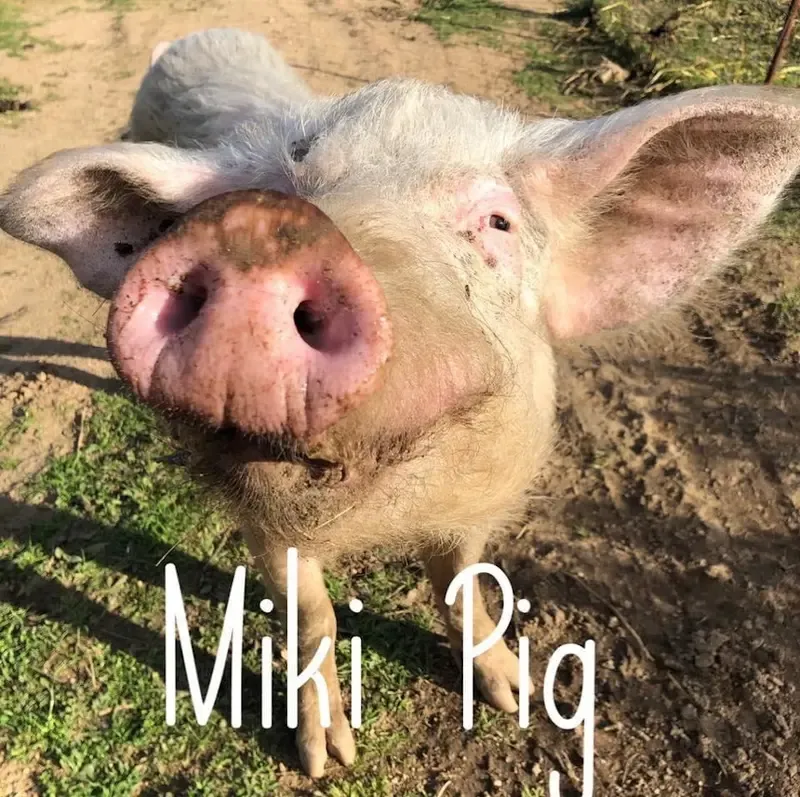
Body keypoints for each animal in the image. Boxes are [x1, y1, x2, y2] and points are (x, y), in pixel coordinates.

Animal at [2, 27, 800, 778]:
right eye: (283, 184)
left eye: (498, 223)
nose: (256, 229)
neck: (386, 505)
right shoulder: (266, 523)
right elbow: (313, 616)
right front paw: (326, 759)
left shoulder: (482, 495)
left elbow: (461, 579)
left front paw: (514, 694)